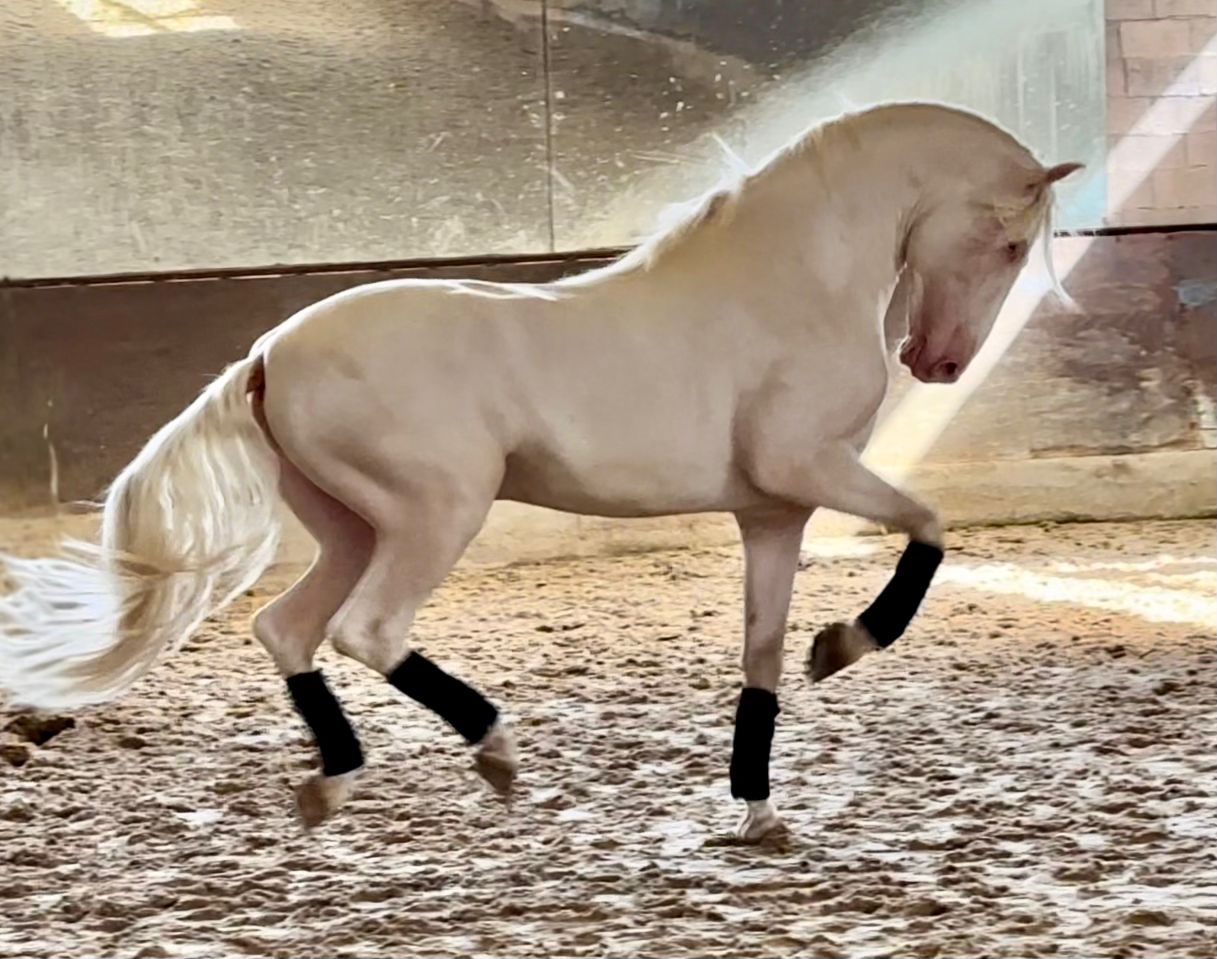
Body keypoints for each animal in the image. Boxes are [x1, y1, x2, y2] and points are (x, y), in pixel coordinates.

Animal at [0, 102, 1080, 841]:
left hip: (352, 525)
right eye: (1008, 240)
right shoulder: (806, 465)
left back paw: (332, 782)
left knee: (288, 627)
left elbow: (761, 657)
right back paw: (493, 750)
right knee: (366, 629)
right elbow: (929, 524)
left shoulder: (772, 509)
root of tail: (269, 351)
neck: (790, 281)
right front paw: (847, 644)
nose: (938, 364)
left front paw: (758, 807)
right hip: (435, 512)